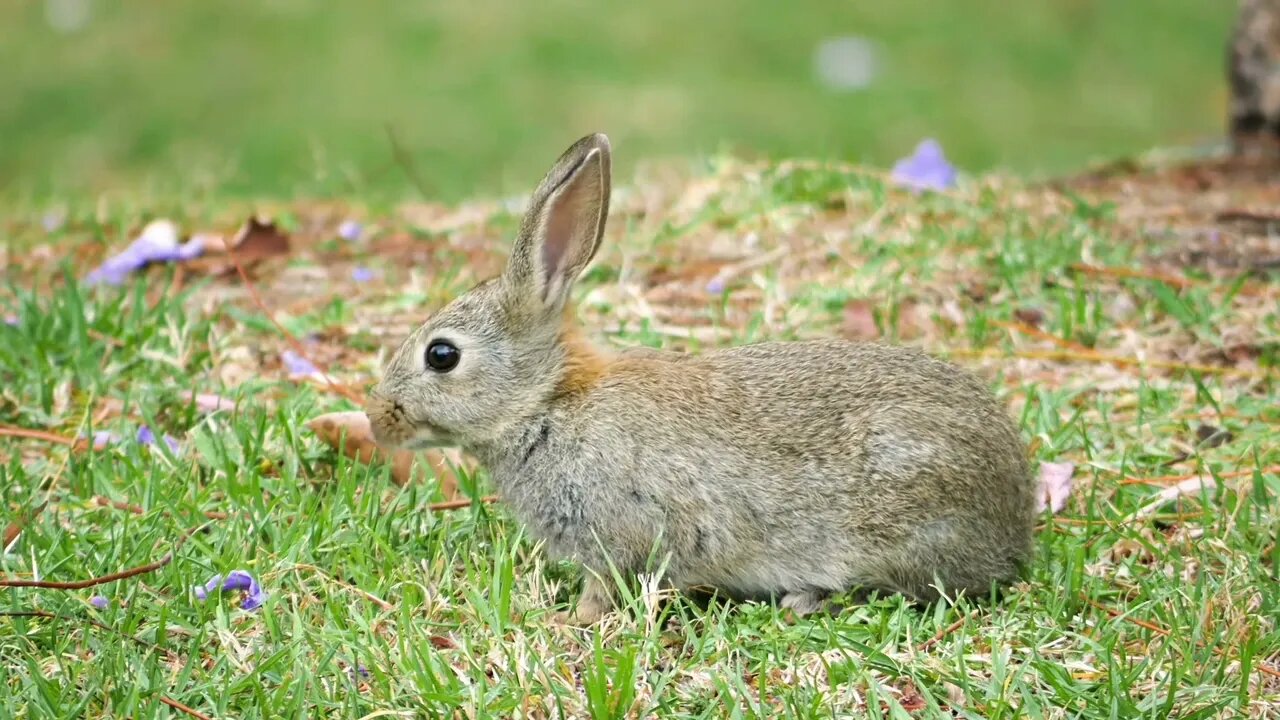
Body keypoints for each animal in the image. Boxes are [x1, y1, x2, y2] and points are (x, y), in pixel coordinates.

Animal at [363, 133, 1039, 622]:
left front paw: (569, 623)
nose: (376, 419)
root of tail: (1016, 520)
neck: (547, 403)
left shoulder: (620, 532)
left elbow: (605, 587)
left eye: (441, 356)